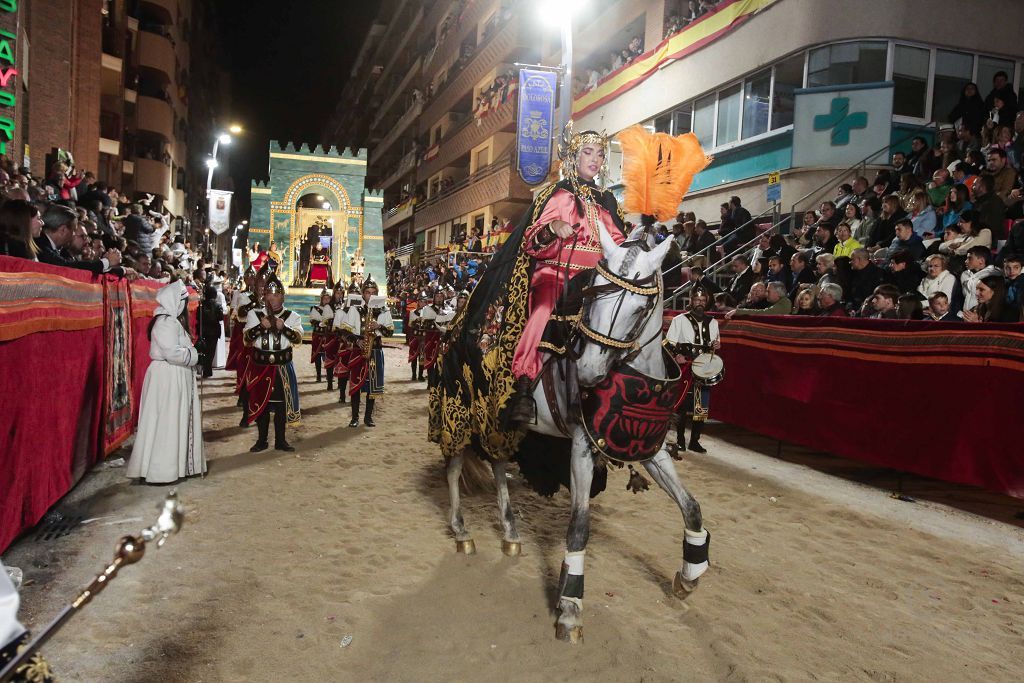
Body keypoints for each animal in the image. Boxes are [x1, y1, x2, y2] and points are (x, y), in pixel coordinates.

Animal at [444, 222, 708, 643]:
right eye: (591, 292)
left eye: (639, 309)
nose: (587, 372)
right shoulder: (583, 446)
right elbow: (580, 526)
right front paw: (569, 608)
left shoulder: (648, 448)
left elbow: (692, 508)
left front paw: (688, 577)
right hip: (463, 414)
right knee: (454, 467)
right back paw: (461, 531)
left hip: (502, 426)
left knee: (499, 466)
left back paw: (510, 534)